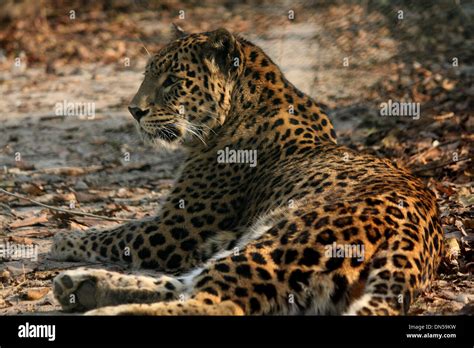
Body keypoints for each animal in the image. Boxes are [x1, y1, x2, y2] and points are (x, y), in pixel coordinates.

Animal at [50, 26, 442, 316]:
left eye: (172, 81)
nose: (134, 110)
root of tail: (414, 234)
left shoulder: (174, 228)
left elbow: (116, 233)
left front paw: (65, 238)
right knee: (188, 287)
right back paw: (82, 286)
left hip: (281, 241)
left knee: (215, 303)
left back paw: (101, 307)